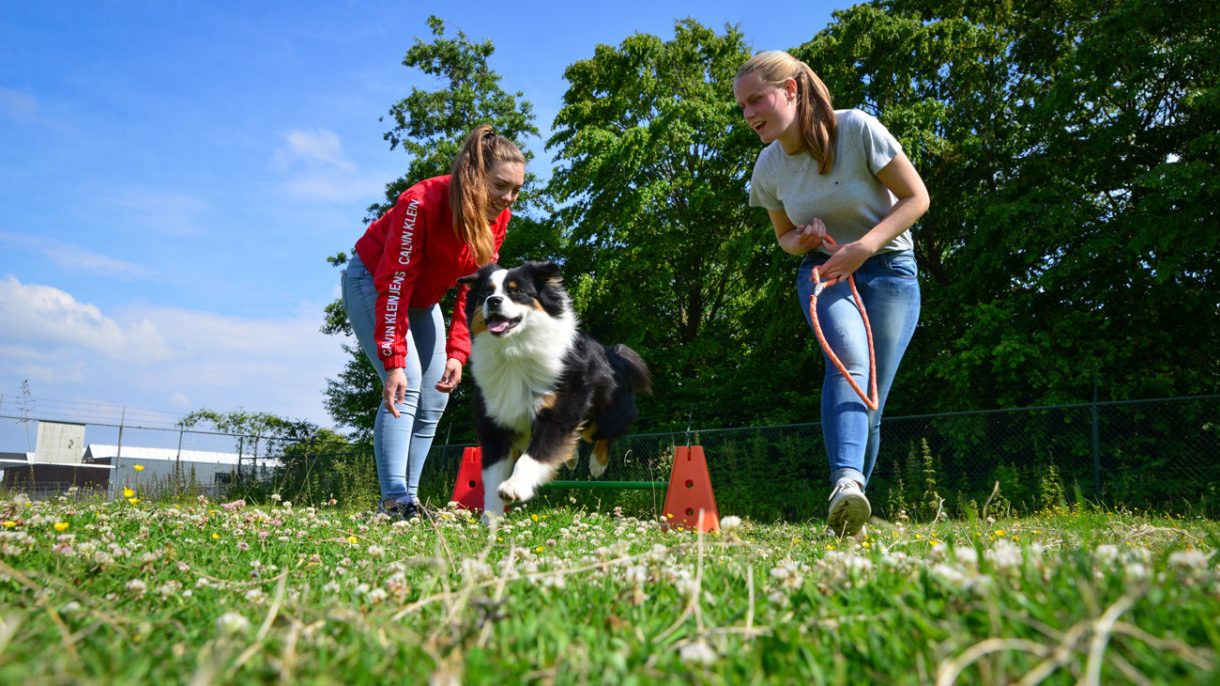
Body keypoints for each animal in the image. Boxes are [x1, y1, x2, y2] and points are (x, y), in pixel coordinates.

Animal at [456, 258, 649, 515]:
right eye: (486, 293)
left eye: (517, 291)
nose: (493, 301)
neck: (513, 350)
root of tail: (615, 355)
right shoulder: (495, 420)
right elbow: (493, 474)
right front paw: (491, 516)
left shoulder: (559, 410)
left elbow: (535, 455)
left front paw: (514, 487)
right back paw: (572, 458)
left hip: (606, 413)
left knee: (604, 435)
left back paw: (597, 464)